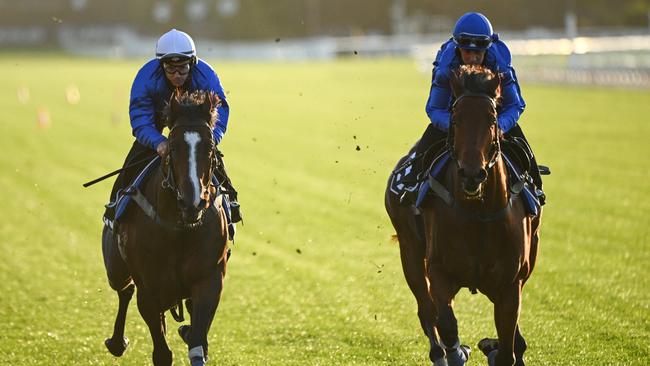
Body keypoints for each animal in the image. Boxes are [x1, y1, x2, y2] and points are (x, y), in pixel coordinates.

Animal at [100, 89, 229, 366]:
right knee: (124, 289)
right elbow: (161, 353)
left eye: (210, 147)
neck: (179, 228)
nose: (193, 201)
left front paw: (193, 336)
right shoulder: (149, 290)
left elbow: (197, 344)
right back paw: (117, 342)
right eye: (172, 146)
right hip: (115, 269)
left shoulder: (209, 279)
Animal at [384, 66, 540, 366]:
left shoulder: (510, 282)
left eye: (492, 118)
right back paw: (441, 353)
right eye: (455, 119)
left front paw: (494, 347)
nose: (471, 173)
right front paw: (458, 352)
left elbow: (508, 342)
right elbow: (445, 321)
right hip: (410, 252)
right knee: (426, 310)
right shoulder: (440, 272)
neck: (479, 214)